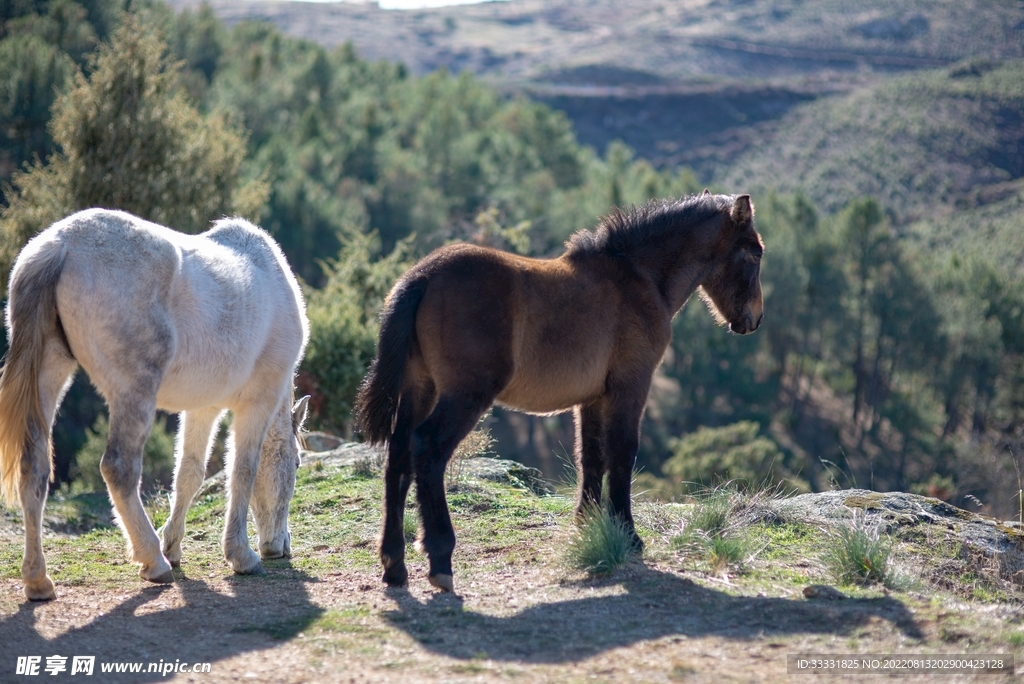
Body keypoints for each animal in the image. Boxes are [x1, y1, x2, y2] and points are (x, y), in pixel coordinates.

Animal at [0, 208, 309, 601]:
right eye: (297, 463)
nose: (280, 546)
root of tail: (60, 245)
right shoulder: (258, 402)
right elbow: (243, 471)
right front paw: (241, 555)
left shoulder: (203, 408)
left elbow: (189, 473)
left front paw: (173, 546)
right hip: (134, 393)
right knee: (119, 468)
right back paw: (153, 562)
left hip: (49, 373)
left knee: (35, 468)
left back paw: (38, 580)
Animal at [355, 191, 764, 592]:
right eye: (757, 252)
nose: (754, 320)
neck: (637, 277)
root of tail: (423, 276)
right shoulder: (631, 383)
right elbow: (622, 453)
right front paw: (629, 535)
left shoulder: (592, 398)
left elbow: (592, 457)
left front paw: (586, 523)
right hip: (464, 394)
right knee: (428, 448)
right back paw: (440, 559)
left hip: (418, 388)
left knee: (398, 455)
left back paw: (394, 565)